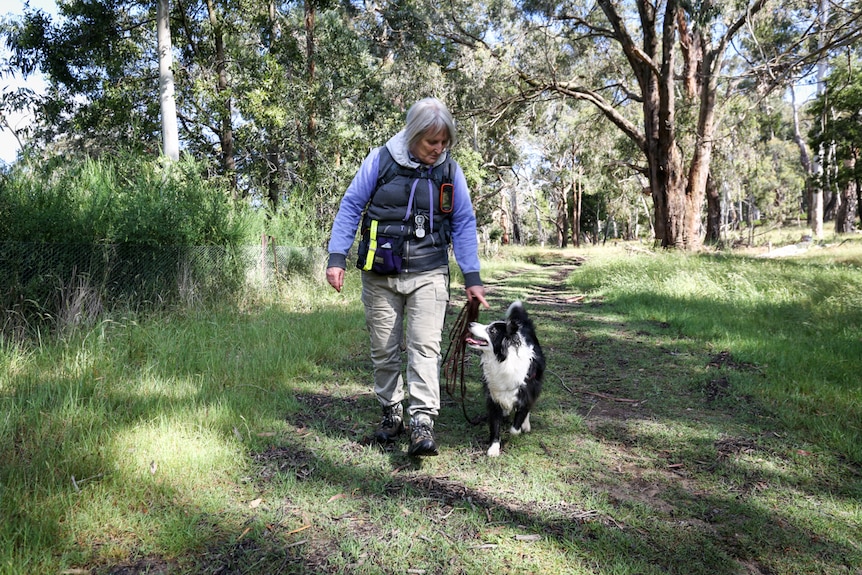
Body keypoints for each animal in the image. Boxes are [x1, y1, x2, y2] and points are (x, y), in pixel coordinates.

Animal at [470, 302, 544, 460]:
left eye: (491, 330)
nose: (470, 323)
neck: (503, 360)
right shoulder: (493, 397)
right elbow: (495, 425)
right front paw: (493, 448)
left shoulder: (526, 392)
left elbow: (514, 428)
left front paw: (518, 429)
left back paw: (525, 424)